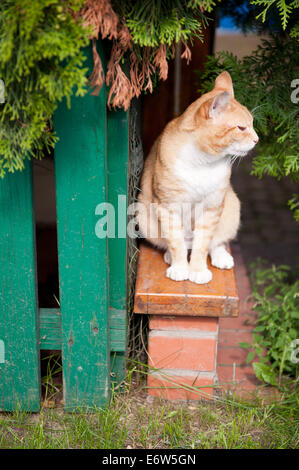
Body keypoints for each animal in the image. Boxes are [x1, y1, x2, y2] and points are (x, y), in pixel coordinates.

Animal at [137, 69, 258, 282]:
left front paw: (198, 271)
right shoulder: (168, 207)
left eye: (251, 124)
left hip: (232, 206)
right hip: (143, 215)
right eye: (241, 128)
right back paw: (170, 256)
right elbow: (176, 242)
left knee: (216, 243)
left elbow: (202, 245)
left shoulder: (212, 207)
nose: (257, 139)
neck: (203, 163)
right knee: (176, 243)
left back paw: (221, 257)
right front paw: (180, 267)